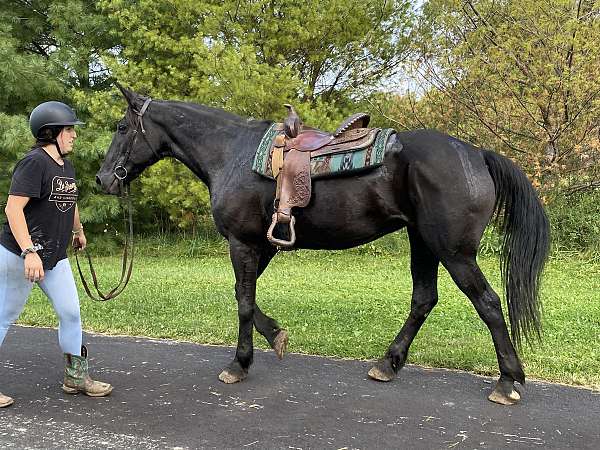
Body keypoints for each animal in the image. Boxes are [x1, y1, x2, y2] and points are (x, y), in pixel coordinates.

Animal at [97, 87, 548, 404]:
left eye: (121, 128)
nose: (103, 179)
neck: (231, 154)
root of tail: (477, 154)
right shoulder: (262, 246)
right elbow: (247, 298)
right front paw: (275, 335)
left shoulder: (243, 243)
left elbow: (243, 301)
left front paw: (240, 363)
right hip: (423, 242)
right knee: (424, 299)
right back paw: (387, 364)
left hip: (453, 252)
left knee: (488, 303)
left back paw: (507, 381)